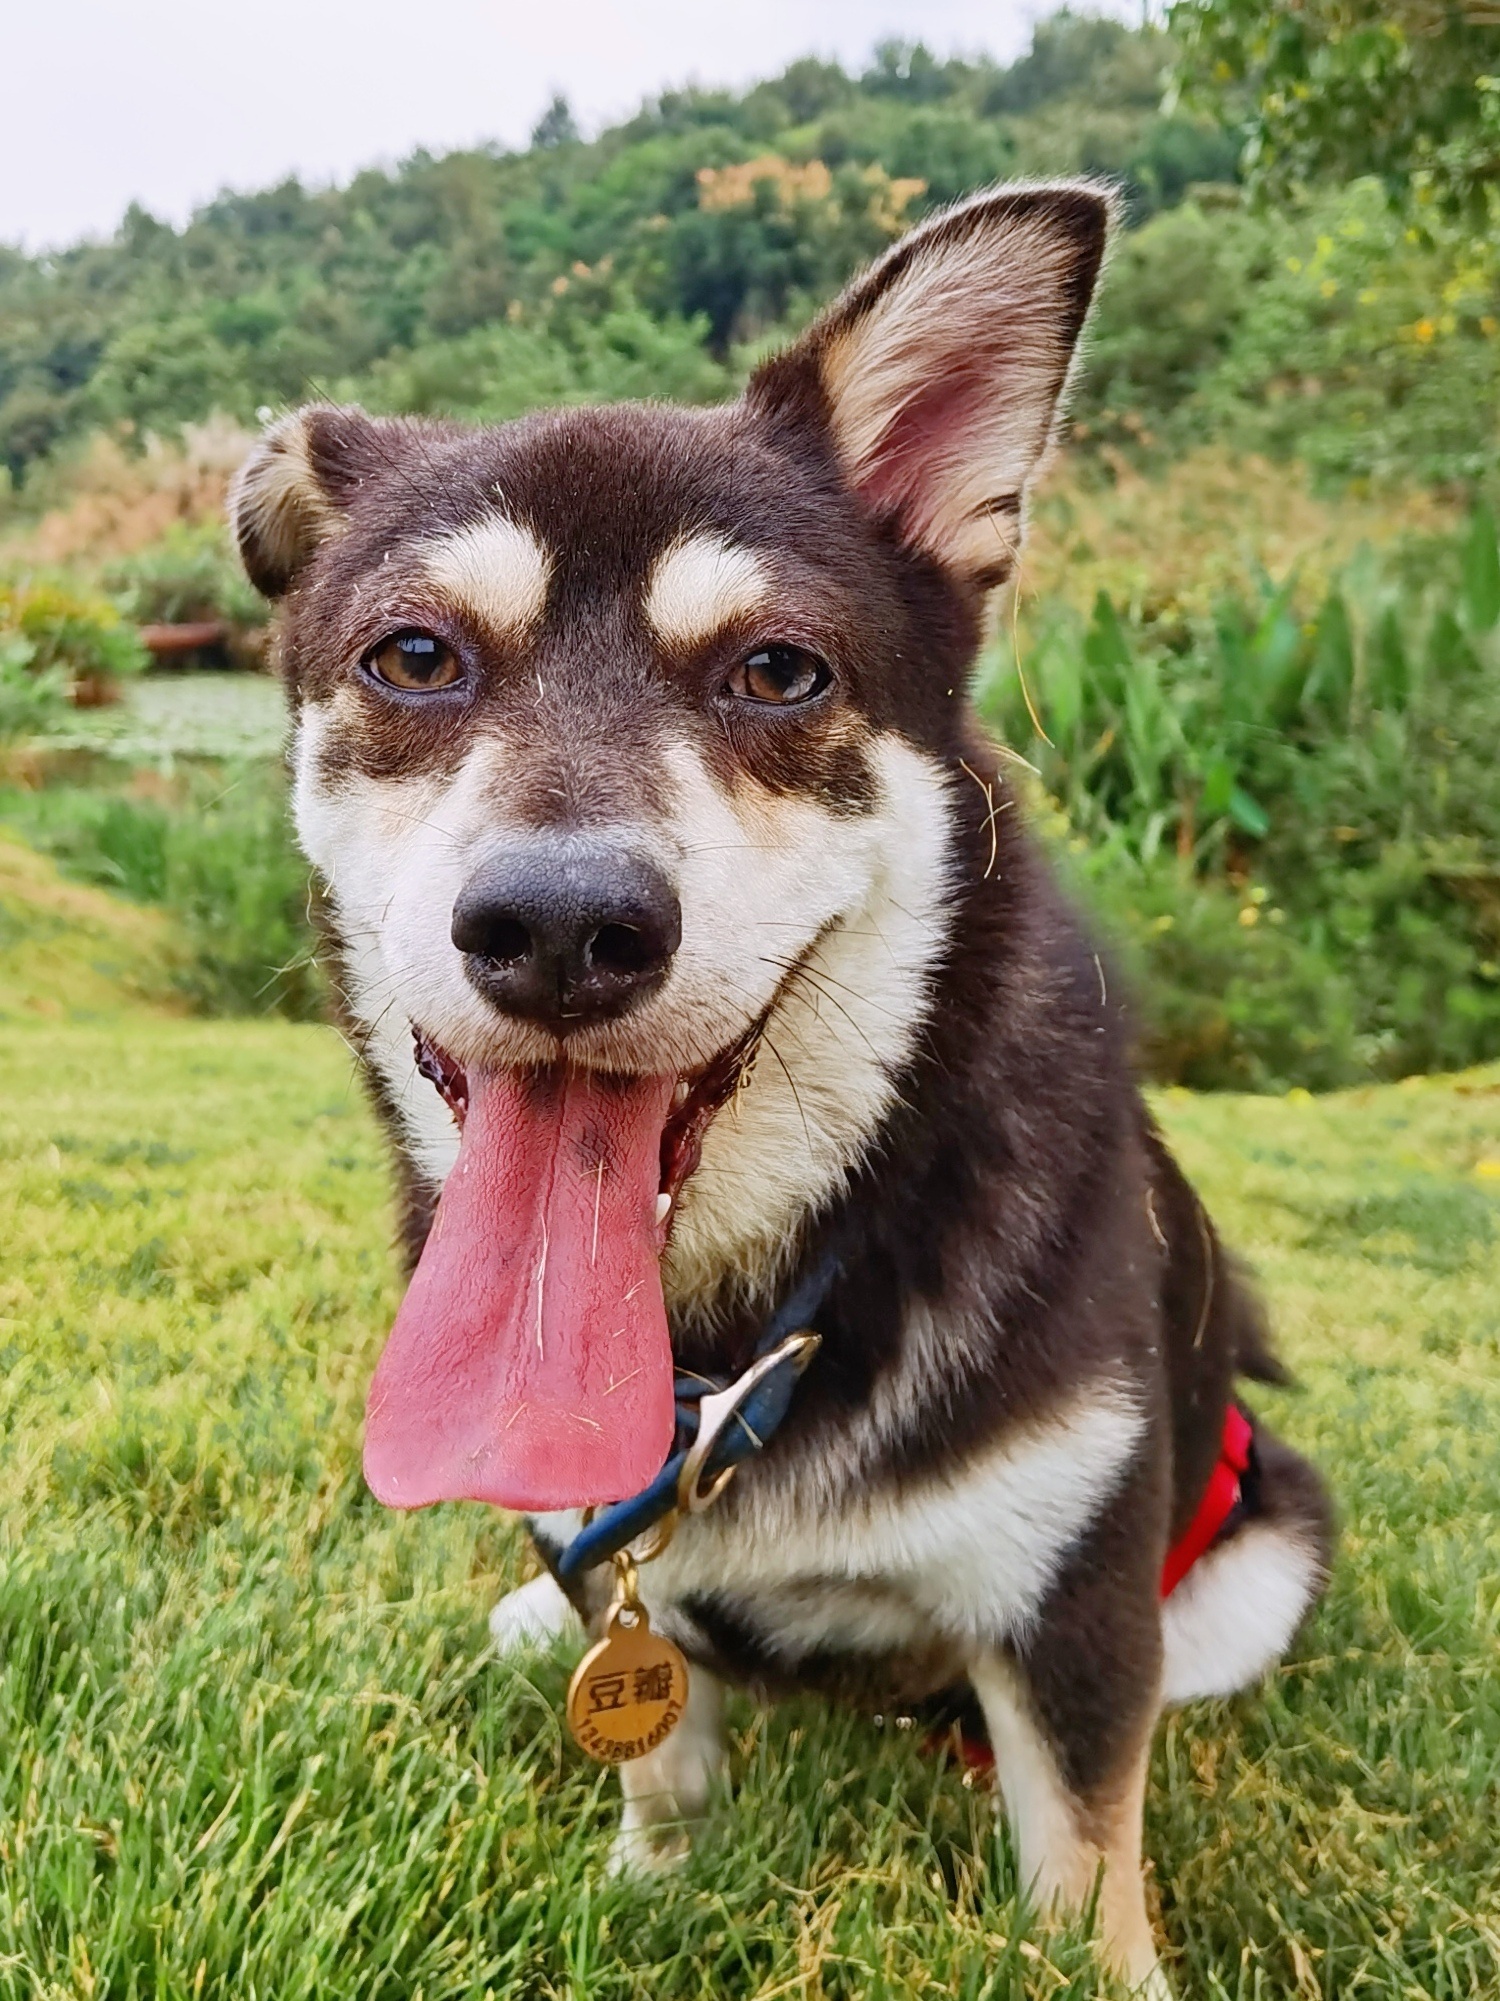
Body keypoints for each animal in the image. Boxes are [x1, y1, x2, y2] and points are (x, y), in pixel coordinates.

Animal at [235, 180, 1336, 1992]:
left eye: (776, 673)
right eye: (413, 656)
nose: (561, 928)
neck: (742, 1331)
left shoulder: (1080, 1600)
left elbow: (1086, 1863)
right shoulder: (628, 1583)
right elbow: (662, 1746)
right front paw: (654, 1882)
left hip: (1268, 1548)